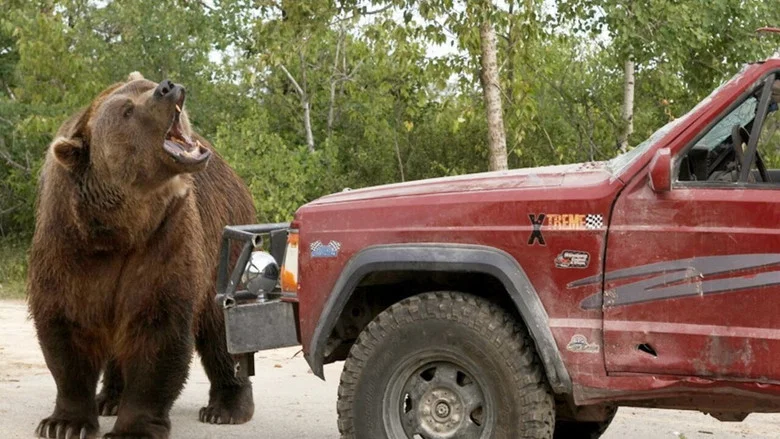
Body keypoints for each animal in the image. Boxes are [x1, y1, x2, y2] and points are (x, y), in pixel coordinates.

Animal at [27, 72, 257, 439]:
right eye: (126, 110)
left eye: (146, 85)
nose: (167, 87)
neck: (118, 229)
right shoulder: (66, 240)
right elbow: (67, 325)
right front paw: (64, 423)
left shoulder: (164, 237)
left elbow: (157, 327)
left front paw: (133, 428)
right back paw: (109, 399)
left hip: (225, 238)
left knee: (222, 329)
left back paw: (226, 408)